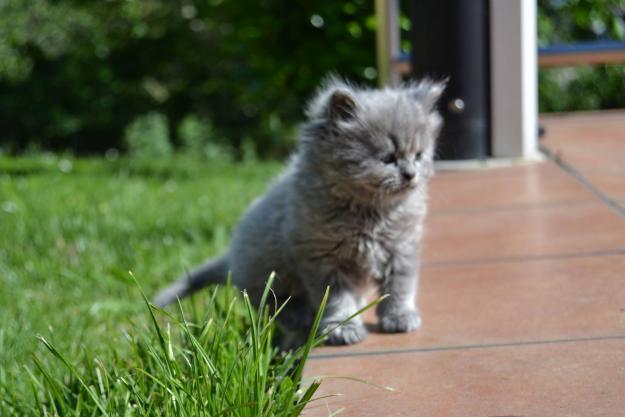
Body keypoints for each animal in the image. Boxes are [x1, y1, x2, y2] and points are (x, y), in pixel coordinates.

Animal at [155, 77, 444, 344]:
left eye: (419, 155)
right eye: (387, 159)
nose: (410, 174)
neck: (371, 214)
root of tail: (231, 257)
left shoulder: (401, 248)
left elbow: (400, 287)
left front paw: (399, 317)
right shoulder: (324, 259)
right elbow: (336, 299)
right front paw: (342, 328)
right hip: (270, 279)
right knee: (275, 307)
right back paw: (303, 321)